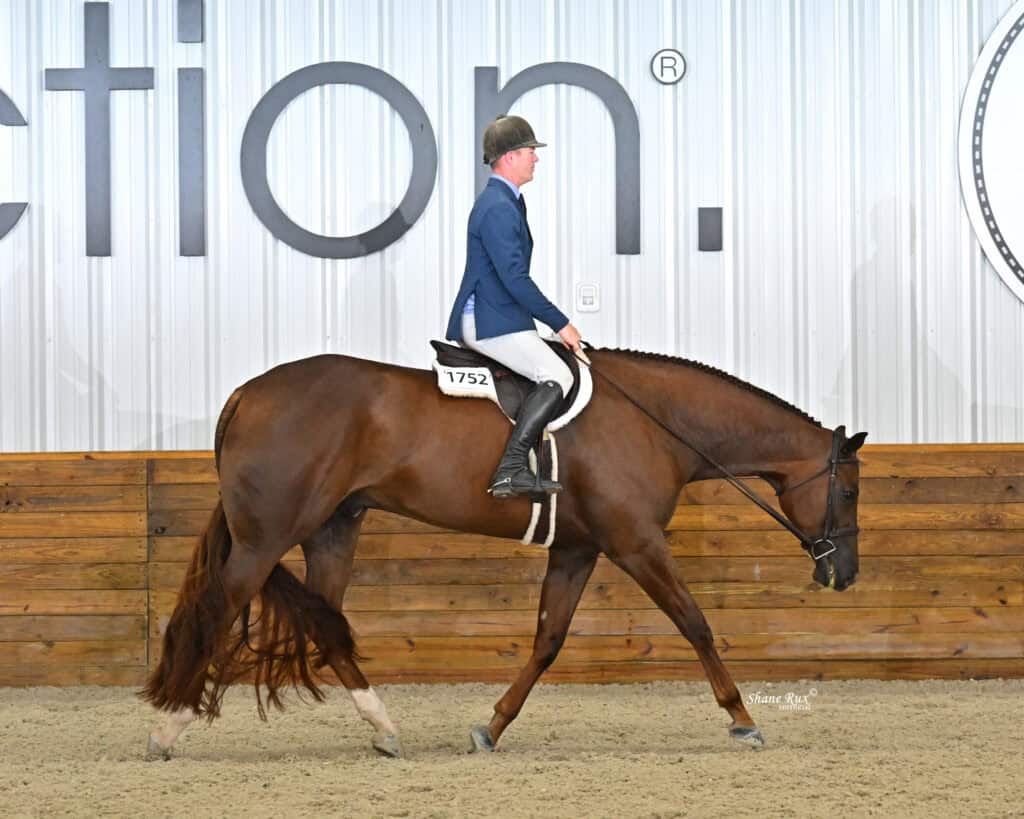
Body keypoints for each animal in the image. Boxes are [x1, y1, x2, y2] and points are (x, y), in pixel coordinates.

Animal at [141, 347, 867, 759]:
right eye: (851, 490)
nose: (845, 573)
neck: (655, 422)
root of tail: (249, 392)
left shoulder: (578, 548)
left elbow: (547, 639)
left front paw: (491, 727)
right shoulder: (635, 543)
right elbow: (696, 623)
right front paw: (743, 720)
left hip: (333, 529)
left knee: (328, 625)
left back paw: (384, 729)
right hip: (265, 537)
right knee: (217, 611)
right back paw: (168, 730)